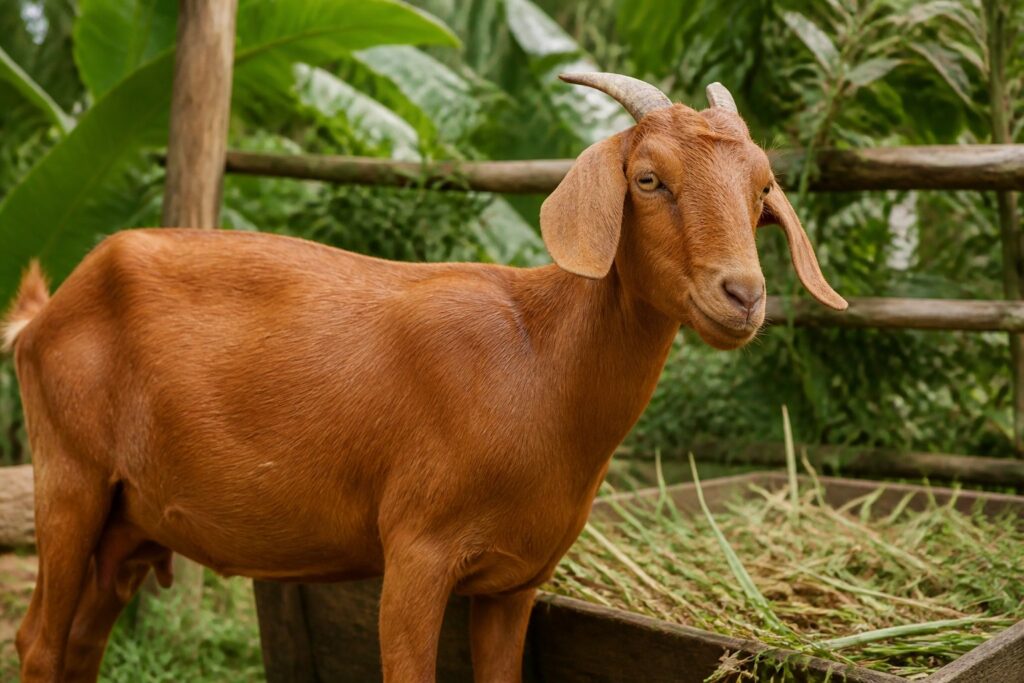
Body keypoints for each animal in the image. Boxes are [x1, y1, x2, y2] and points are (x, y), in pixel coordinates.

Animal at [4, 73, 845, 682]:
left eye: (762, 189)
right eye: (647, 179)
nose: (741, 295)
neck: (540, 360)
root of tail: (51, 307)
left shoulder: (514, 582)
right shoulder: (415, 551)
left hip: (130, 521)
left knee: (81, 646)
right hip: (70, 475)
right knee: (39, 640)